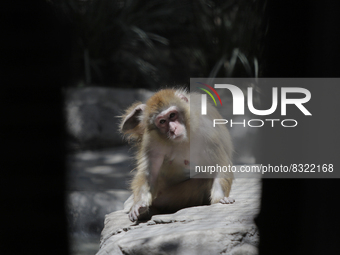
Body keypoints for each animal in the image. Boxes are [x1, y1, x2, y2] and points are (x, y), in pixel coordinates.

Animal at [119, 87, 234, 221]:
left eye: (172, 115)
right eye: (162, 121)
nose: (173, 129)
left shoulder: (207, 131)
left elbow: (219, 165)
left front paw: (220, 198)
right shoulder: (152, 140)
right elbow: (149, 174)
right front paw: (139, 205)